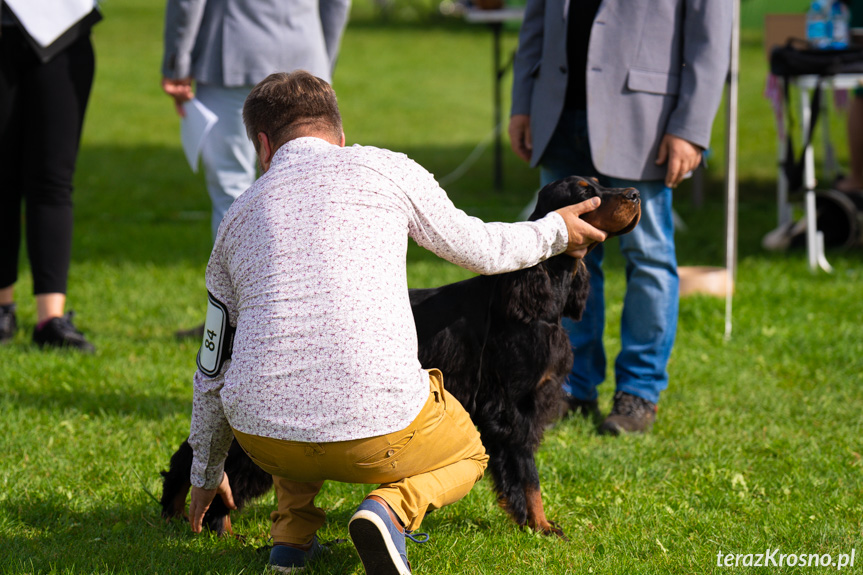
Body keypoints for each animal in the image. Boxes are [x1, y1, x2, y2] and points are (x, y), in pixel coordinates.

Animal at [160, 176, 640, 540]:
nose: (635, 194)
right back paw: (217, 526)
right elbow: (527, 474)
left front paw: (536, 523)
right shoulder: (512, 408)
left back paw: (175, 513)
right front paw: (540, 526)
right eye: (584, 190)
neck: (536, 299)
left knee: (198, 449)